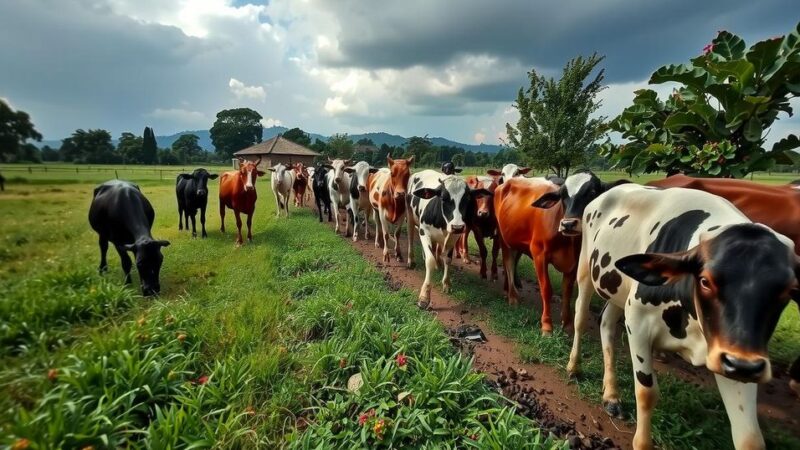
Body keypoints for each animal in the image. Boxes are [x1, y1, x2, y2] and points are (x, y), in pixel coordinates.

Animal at [406, 170, 494, 310]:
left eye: (467, 199)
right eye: (443, 198)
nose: (457, 226)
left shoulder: (454, 236)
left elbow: (447, 258)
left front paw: (446, 284)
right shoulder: (424, 231)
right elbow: (430, 261)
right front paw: (424, 296)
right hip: (410, 216)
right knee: (410, 238)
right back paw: (411, 261)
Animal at [494, 178, 580, 332]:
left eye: (594, 192)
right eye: (563, 195)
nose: (569, 223)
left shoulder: (574, 261)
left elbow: (567, 291)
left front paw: (568, 324)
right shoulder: (539, 254)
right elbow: (546, 288)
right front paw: (546, 325)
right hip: (504, 239)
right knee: (508, 263)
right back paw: (512, 297)